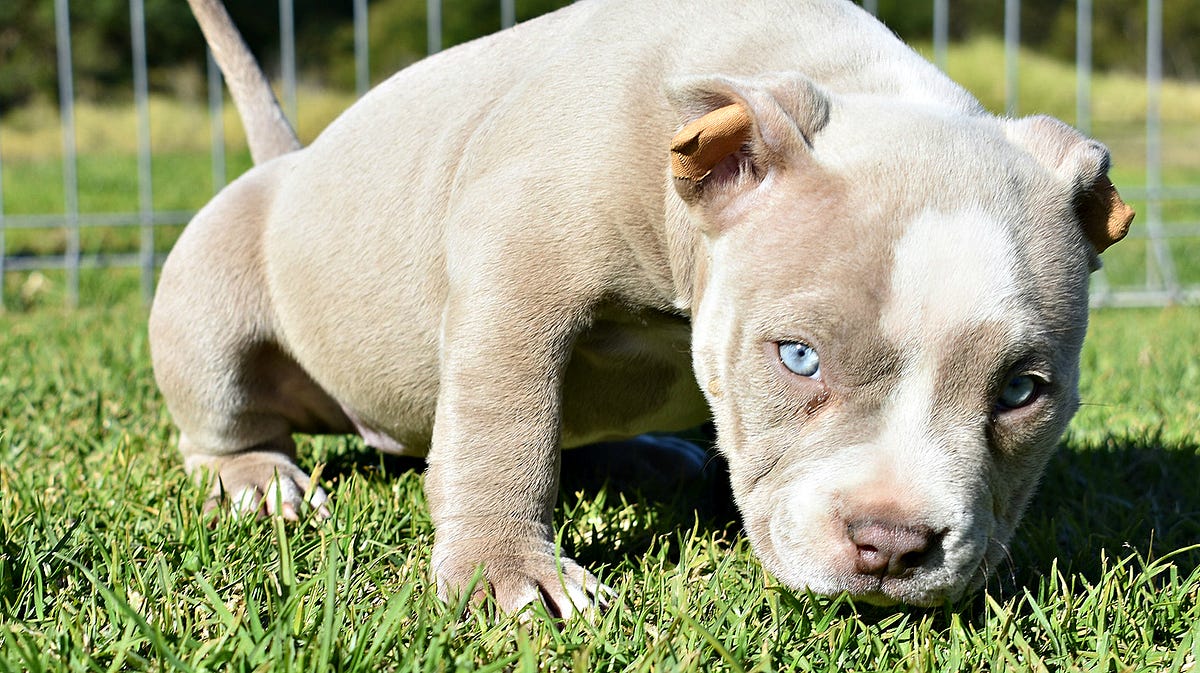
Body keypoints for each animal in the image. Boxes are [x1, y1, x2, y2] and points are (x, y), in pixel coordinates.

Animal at [152, 0, 1132, 614]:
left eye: (1021, 391)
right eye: (798, 357)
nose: (891, 543)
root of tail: (291, 158)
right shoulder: (515, 278)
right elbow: (507, 424)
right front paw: (508, 574)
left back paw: (651, 454)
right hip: (210, 305)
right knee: (224, 418)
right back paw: (256, 479)